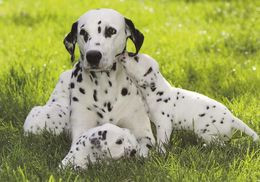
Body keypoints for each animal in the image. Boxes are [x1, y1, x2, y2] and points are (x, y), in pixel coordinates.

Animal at [63, 8, 155, 156]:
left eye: (111, 31)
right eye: (83, 33)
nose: (93, 56)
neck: (104, 85)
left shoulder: (144, 135)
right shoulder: (81, 129)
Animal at [119, 52, 258, 148]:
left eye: (135, 58)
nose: (123, 52)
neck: (158, 92)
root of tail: (231, 118)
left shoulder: (163, 125)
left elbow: (162, 141)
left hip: (204, 131)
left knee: (220, 144)